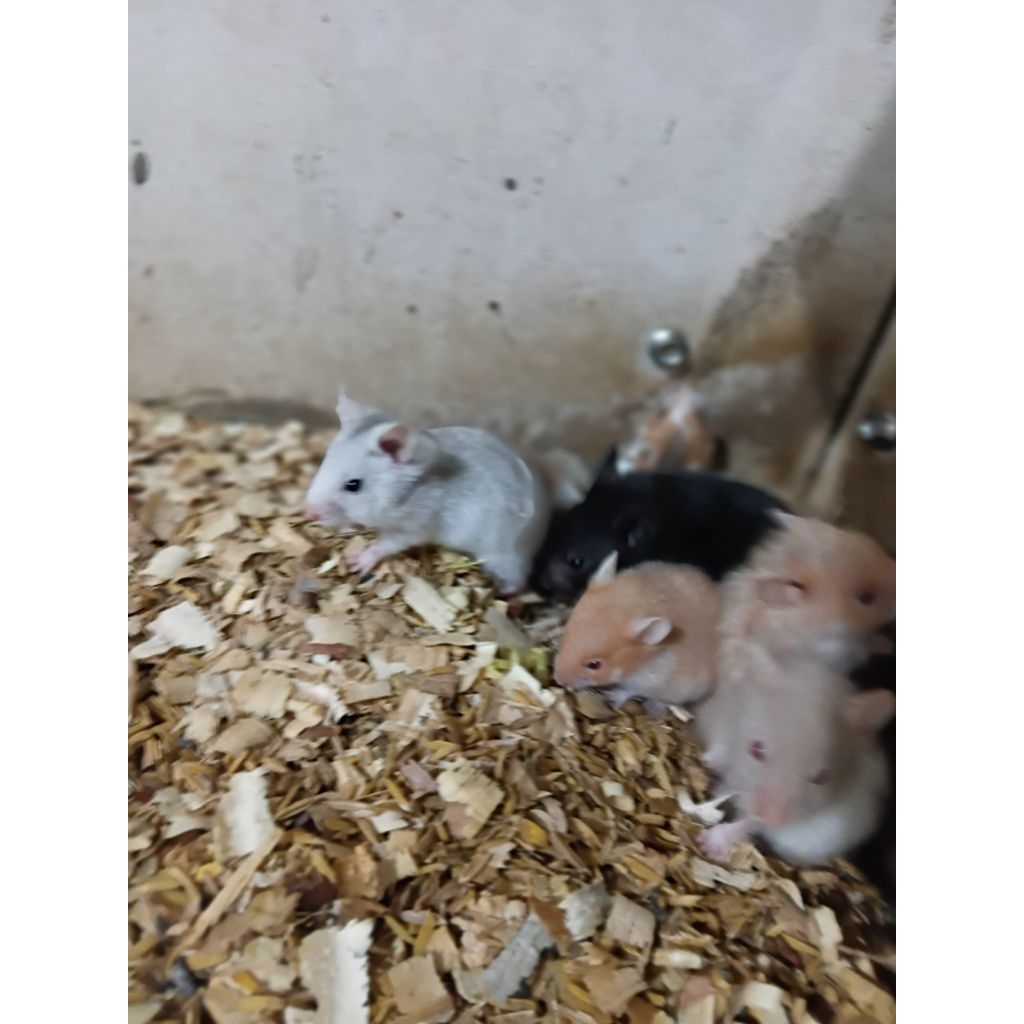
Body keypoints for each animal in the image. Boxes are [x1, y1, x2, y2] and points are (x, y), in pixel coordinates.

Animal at [304, 391, 551, 593]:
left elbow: (385, 545)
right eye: (324, 463)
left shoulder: (413, 527)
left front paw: (356, 560)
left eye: (354, 485)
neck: (406, 492)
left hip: (500, 554)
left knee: (518, 581)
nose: (309, 513)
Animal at [553, 553, 720, 716]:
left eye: (594, 665)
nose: (559, 680)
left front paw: (611, 697)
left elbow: (629, 690)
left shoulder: (649, 680)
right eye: (565, 636)